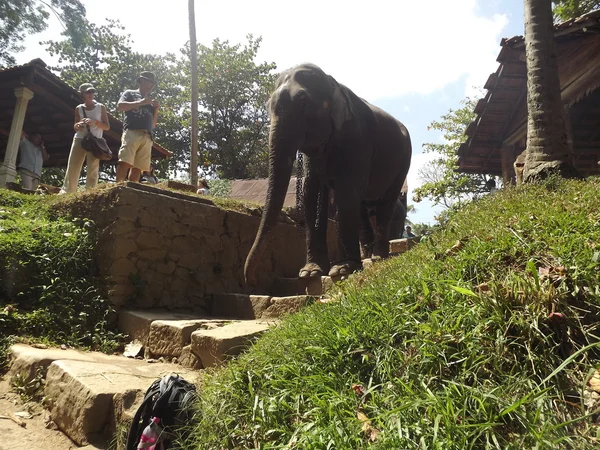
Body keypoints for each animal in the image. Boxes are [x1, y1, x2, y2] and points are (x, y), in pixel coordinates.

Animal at [243, 63, 408, 284]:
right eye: (268, 105)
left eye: (303, 101)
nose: (251, 279)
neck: (332, 82)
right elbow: (311, 191)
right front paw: (310, 272)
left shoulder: (357, 139)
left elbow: (346, 191)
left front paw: (342, 270)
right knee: (363, 206)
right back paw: (367, 256)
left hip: (403, 161)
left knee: (385, 204)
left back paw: (378, 256)